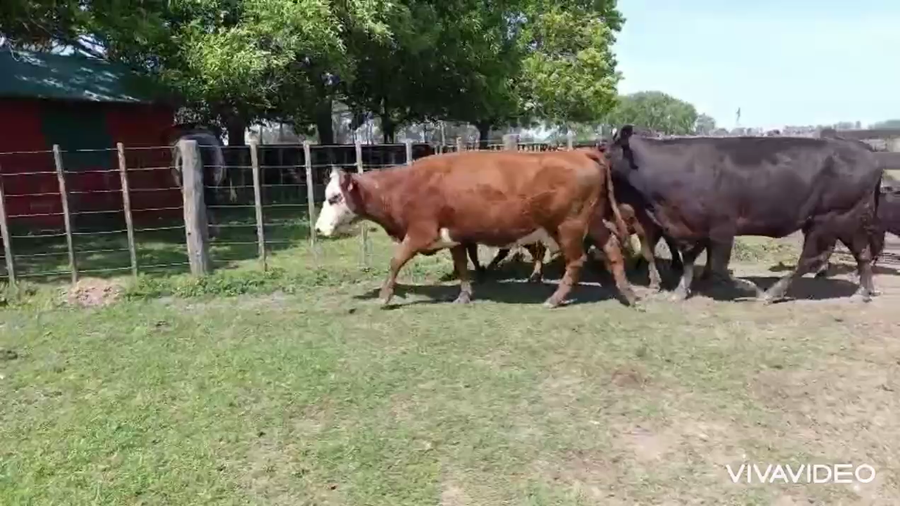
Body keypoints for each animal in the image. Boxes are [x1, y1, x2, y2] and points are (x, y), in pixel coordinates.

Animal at [313, 148, 638, 308]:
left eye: (334, 197)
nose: (317, 230)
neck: (405, 186)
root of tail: (580, 153)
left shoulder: (420, 232)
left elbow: (396, 260)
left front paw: (384, 296)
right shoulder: (455, 237)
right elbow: (461, 266)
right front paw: (464, 295)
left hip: (569, 226)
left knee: (575, 261)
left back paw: (555, 300)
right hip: (593, 222)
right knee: (612, 250)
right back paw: (630, 295)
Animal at [601, 125, 884, 304]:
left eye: (604, 148)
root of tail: (868, 153)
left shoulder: (722, 228)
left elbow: (719, 267)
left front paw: (750, 288)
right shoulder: (693, 227)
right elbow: (690, 259)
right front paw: (680, 291)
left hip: (829, 220)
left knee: (810, 259)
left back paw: (772, 293)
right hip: (849, 220)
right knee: (862, 253)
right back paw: (863, 292)